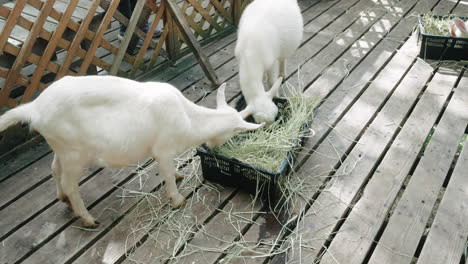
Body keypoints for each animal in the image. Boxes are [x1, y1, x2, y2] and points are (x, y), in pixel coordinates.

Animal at [0, 76, 264, 227]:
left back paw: (62, 199)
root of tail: (34, 109)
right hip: (75, 153)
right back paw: (88, 219)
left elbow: (171, 171)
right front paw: (177, 199)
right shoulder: (163, 148)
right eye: (232, 134)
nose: (213, 147)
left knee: (54, 170)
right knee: (70, 184)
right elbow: (167, 175)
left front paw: (179, 176)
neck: (188, 117)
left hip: (60, 148)